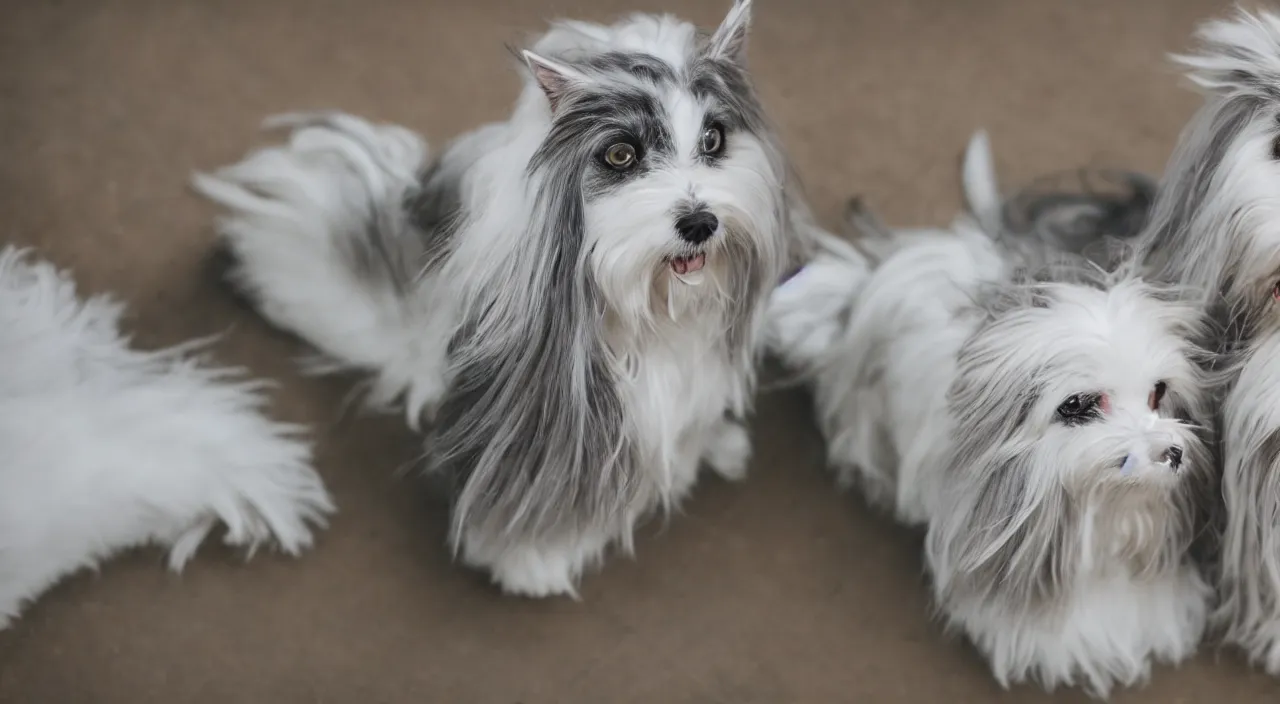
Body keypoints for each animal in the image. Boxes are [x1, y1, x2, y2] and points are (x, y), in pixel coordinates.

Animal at [194, 0, 824, 599]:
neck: (653, 302)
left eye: (713, 139)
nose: (699, 222)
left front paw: (706, 447)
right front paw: (531, 563)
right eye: (621, 155)